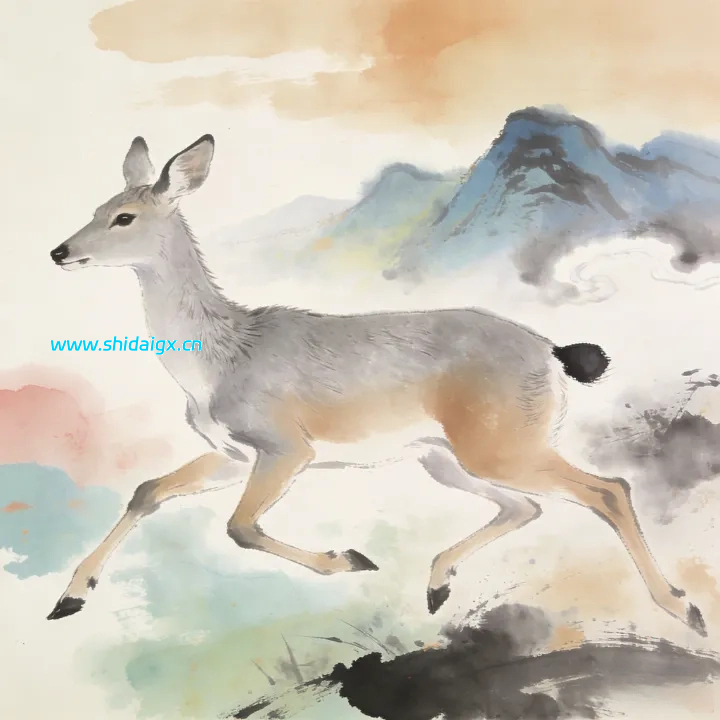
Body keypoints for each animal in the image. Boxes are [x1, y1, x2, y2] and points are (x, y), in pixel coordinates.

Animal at [47, 134, 707, 637]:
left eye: (124, 216)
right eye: (98, 206)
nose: (60, 251)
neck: (222, 354)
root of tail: (553, 352)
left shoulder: (286, 449)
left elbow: (239, 527)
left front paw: (351, 558)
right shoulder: (232, 455)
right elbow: (147, 491)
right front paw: (69, 598)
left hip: (501, 448)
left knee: (608, 489)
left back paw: (684, 608)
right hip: (446, 460)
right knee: (529, 505)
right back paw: (437, 586)